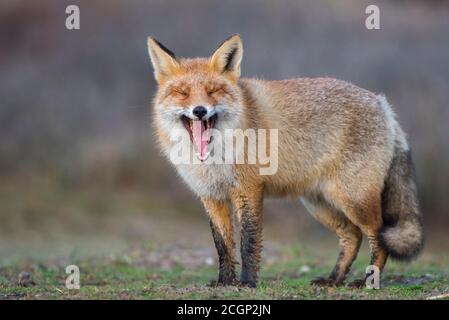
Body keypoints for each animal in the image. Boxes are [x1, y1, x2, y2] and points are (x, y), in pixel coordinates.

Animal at [147, 34, 424, 288]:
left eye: (213, 91)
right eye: (182, 93)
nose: (200, 110)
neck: (213, 158)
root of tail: (382, 104)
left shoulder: (249, 190)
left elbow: (248, 242)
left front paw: (247, 283)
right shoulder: (211, 196)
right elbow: (223, 246)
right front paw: (225, 282)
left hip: (353, 199)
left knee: (378, 235)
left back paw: (366, 281)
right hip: (320, 203)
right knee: (352, 236)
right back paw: (333, 280)